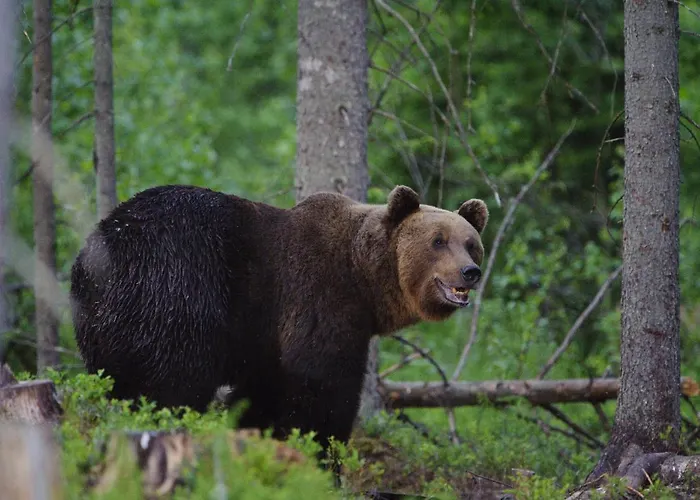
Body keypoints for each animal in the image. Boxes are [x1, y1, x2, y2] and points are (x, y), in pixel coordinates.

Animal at [69, 184, 488, 452]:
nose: (470, 272)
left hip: (110, 324)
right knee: (171, 386)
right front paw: (322, 456)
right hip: (177, 293)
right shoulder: (316, 300)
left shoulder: (266, 339)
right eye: (437, 240)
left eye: (471, 243)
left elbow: (263, 396)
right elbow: (321, 389)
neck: (362, 279)